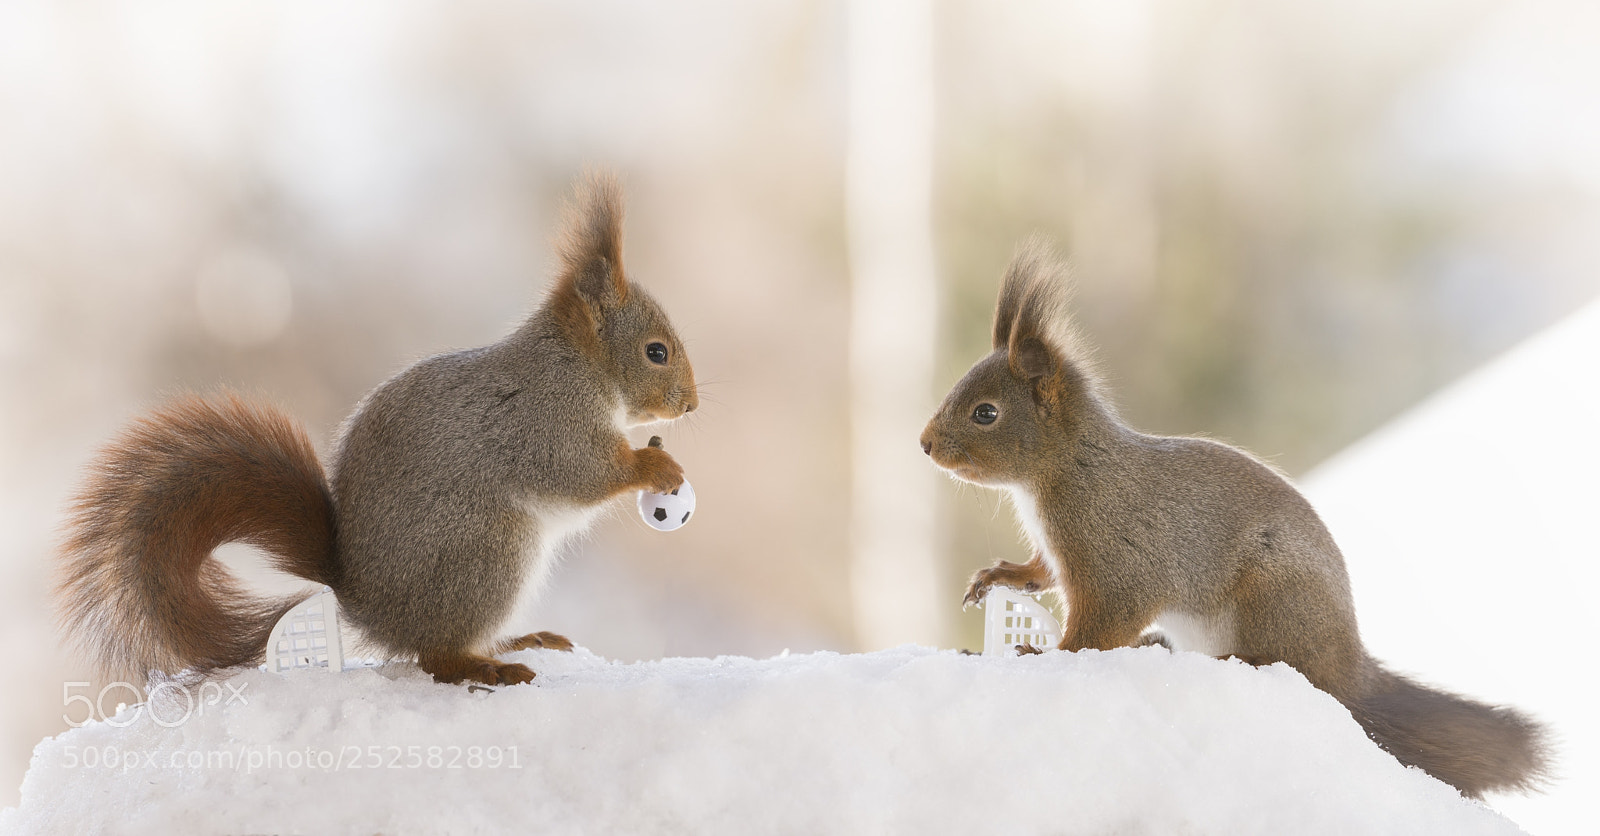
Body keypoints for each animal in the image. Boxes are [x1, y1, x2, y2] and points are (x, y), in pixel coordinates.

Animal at [56, 172, 697, 688]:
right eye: (656, 352)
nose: (691, 406)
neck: (579, 366)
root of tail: (368, 604)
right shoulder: (544, 421)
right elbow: (583, 472)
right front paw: (657, 465)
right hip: (488, 549)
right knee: (436, 657)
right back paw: (489, 667)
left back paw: (516, 640)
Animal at [920, 237, 1550, 799]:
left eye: (985, 414)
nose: (924, 445)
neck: (1064, 470)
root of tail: (1350, 664)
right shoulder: (1058, 551)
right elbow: (1041, 573)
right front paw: (997, 576)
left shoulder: (1114, 556)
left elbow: (1100, 627)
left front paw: (1044, 654)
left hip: (1273, 593)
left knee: (1285, 662)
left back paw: (1227, 657)